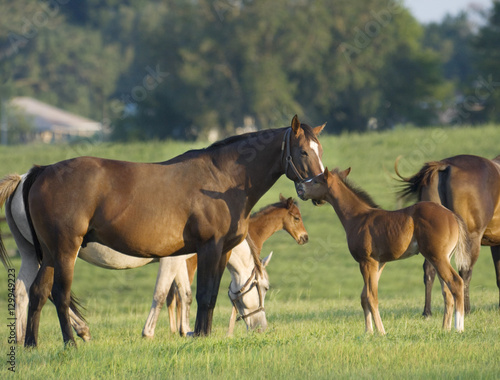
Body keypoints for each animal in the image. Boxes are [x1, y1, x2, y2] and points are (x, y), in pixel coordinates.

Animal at [1, 174, 272, 342]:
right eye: (265, 287)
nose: (261, 328)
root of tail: (23, 180)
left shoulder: (180, 260)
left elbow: (184, 294)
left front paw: (186, 331)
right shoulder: (171, 260)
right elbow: (162, 294)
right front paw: (149, 332)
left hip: (32, 255)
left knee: (23, 290)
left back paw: (23, 338)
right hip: (60, 255)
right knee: (49, 292)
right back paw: (76, 331)